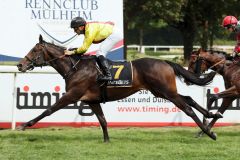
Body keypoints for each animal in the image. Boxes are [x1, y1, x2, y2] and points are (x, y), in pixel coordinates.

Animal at [16, 35, 221, 141]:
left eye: (35, 50)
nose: (20, 65)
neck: (75, 67)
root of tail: (165, 62)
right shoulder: (92, 100)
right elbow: (102, 120)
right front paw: (106, 141)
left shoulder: (72, 95)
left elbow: (48, 110)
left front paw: (25, 125)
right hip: (161, 91)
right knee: (189, 99)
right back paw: (212, 114)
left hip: (166, 91)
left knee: (187, 108)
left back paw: (209, 132)